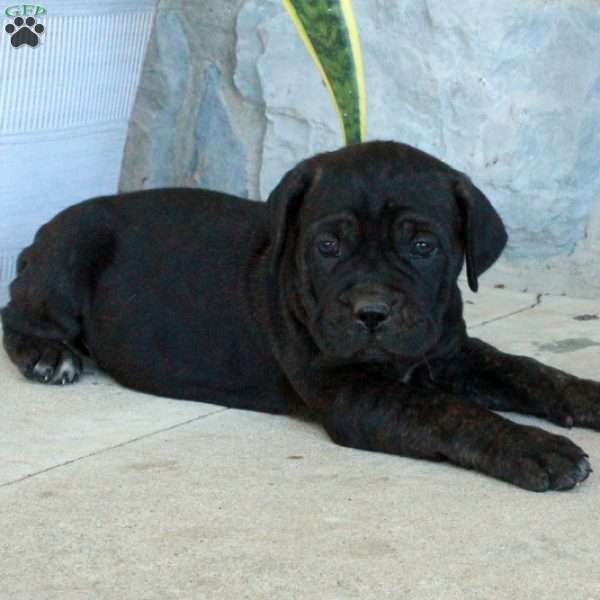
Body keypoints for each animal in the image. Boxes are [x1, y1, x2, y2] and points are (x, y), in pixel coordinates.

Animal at [1, 142, 600, 492]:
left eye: (424, 246)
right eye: (328, 246)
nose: (371, 313)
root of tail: (42, 234)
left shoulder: (447, 352)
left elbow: (529, 370)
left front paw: (587, 395)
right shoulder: (355, 392)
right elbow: (452, 413)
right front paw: (535, 447)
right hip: (72, 252)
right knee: (17, 310)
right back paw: (49, 356)